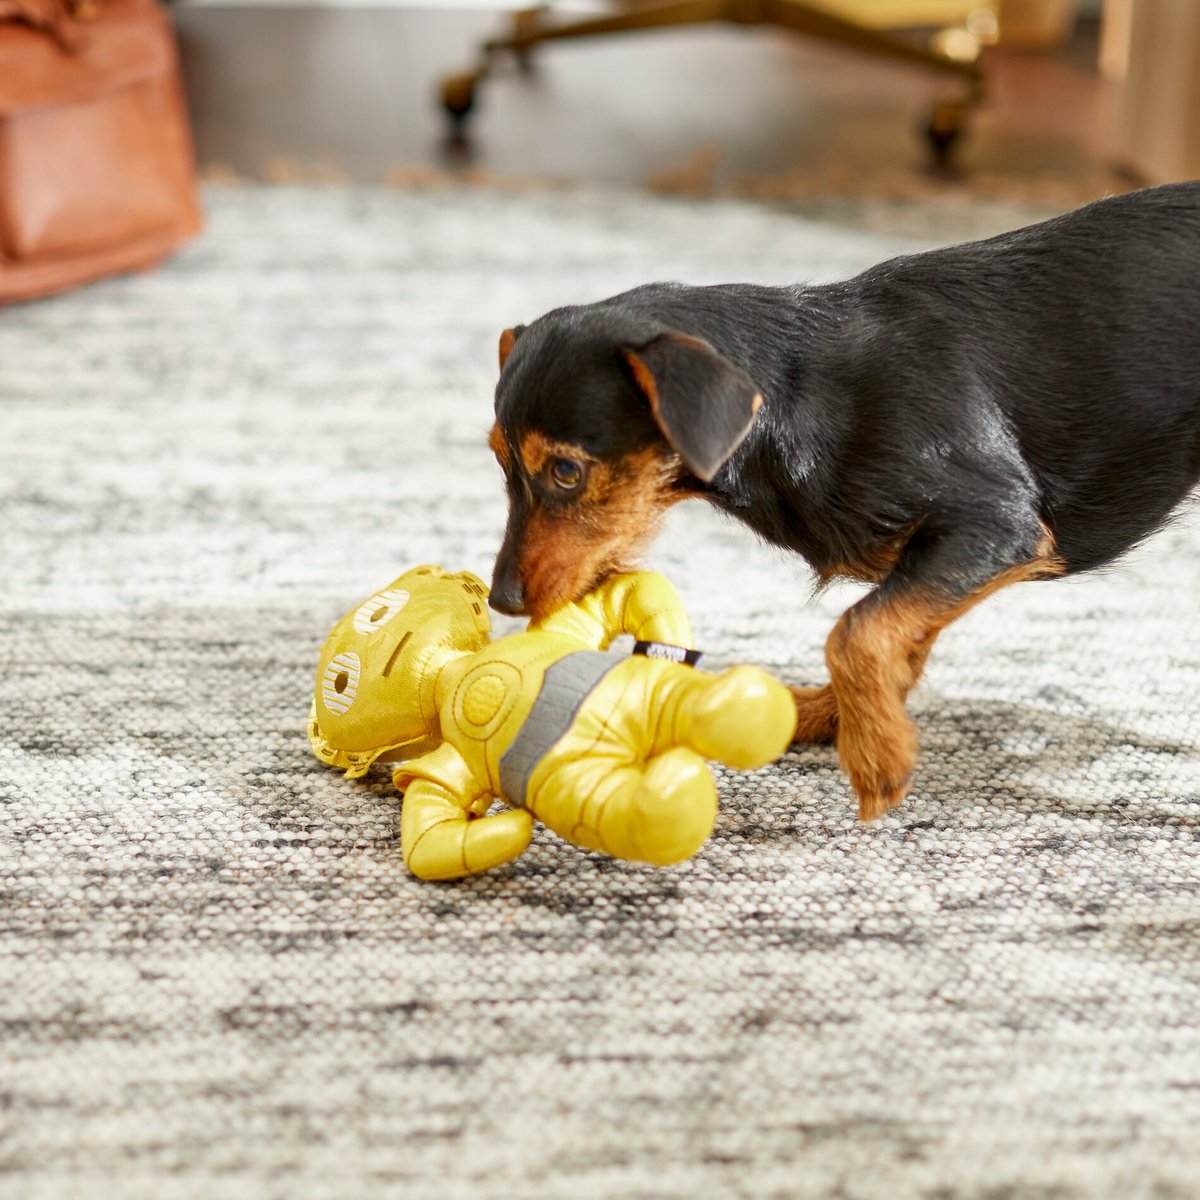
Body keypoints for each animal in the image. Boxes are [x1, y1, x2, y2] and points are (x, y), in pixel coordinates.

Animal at [482, 182, 1195, 820]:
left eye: (566, 472)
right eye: (498, 460)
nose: (503, 601)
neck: (802, 398)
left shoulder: (996, 523)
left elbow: (857, 630)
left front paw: (878, 757)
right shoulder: (941, 560)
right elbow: (899, 633)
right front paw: (841, 716)